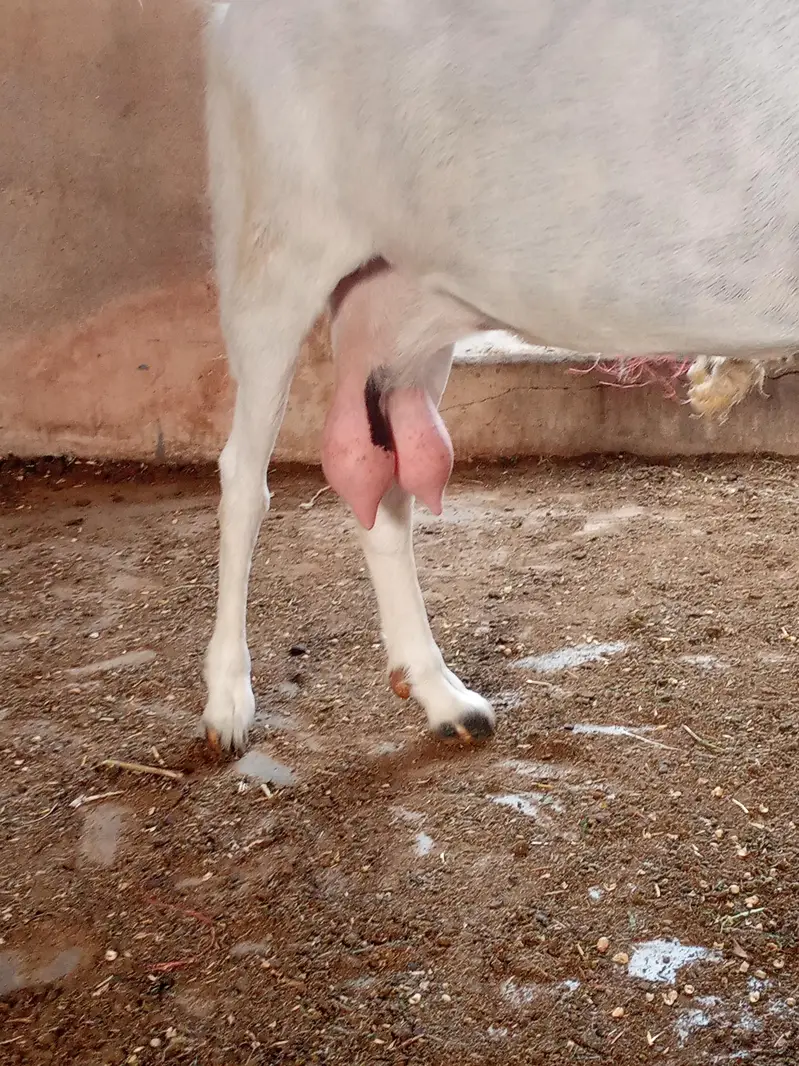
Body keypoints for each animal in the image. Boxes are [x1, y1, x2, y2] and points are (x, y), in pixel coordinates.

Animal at [201, 0, 799, 750]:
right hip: (272, 247)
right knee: (243, 480)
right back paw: (227, 701)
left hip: (398, 306)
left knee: (381, 482)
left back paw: (442, 697)